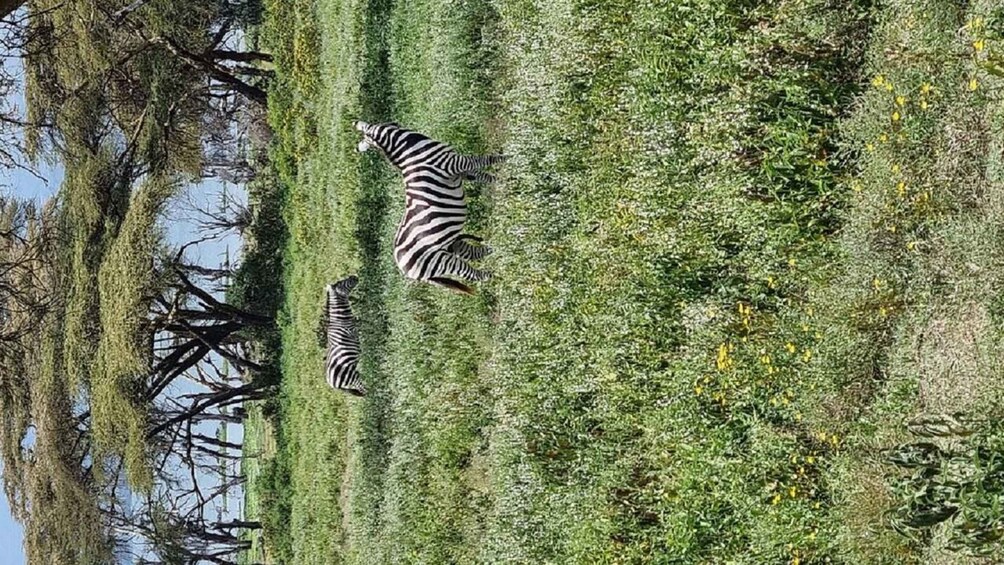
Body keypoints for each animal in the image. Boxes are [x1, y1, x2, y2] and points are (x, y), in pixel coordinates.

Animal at [354, 120, 504, 294]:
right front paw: (508, 159)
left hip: (448, 245)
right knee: (474, 274)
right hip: (442, 261)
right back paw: (498, 275)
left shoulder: (461, 172)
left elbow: (482, 176)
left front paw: (501, 180)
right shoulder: (455, 163)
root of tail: (402, 267)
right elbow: (484, 160)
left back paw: (497, 250)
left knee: (475, 253)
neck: (412, 155)